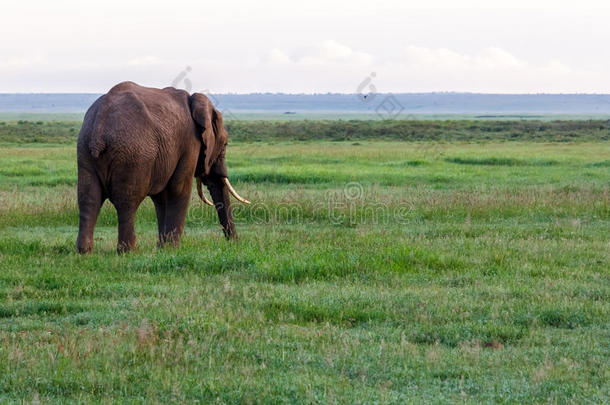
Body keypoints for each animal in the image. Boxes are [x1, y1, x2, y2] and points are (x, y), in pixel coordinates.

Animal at [76, 81, 249, 252]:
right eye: (225, 145)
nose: (233, 244)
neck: (195, 101)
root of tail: (100, 124)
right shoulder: (190, 143)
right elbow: (179, 188)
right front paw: (173, 249)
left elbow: (162, 198)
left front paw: (162, 248)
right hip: (132, 154)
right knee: (127, 200)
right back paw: (129, 251)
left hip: (85, 148)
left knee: (88, 198)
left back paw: (85, 252)